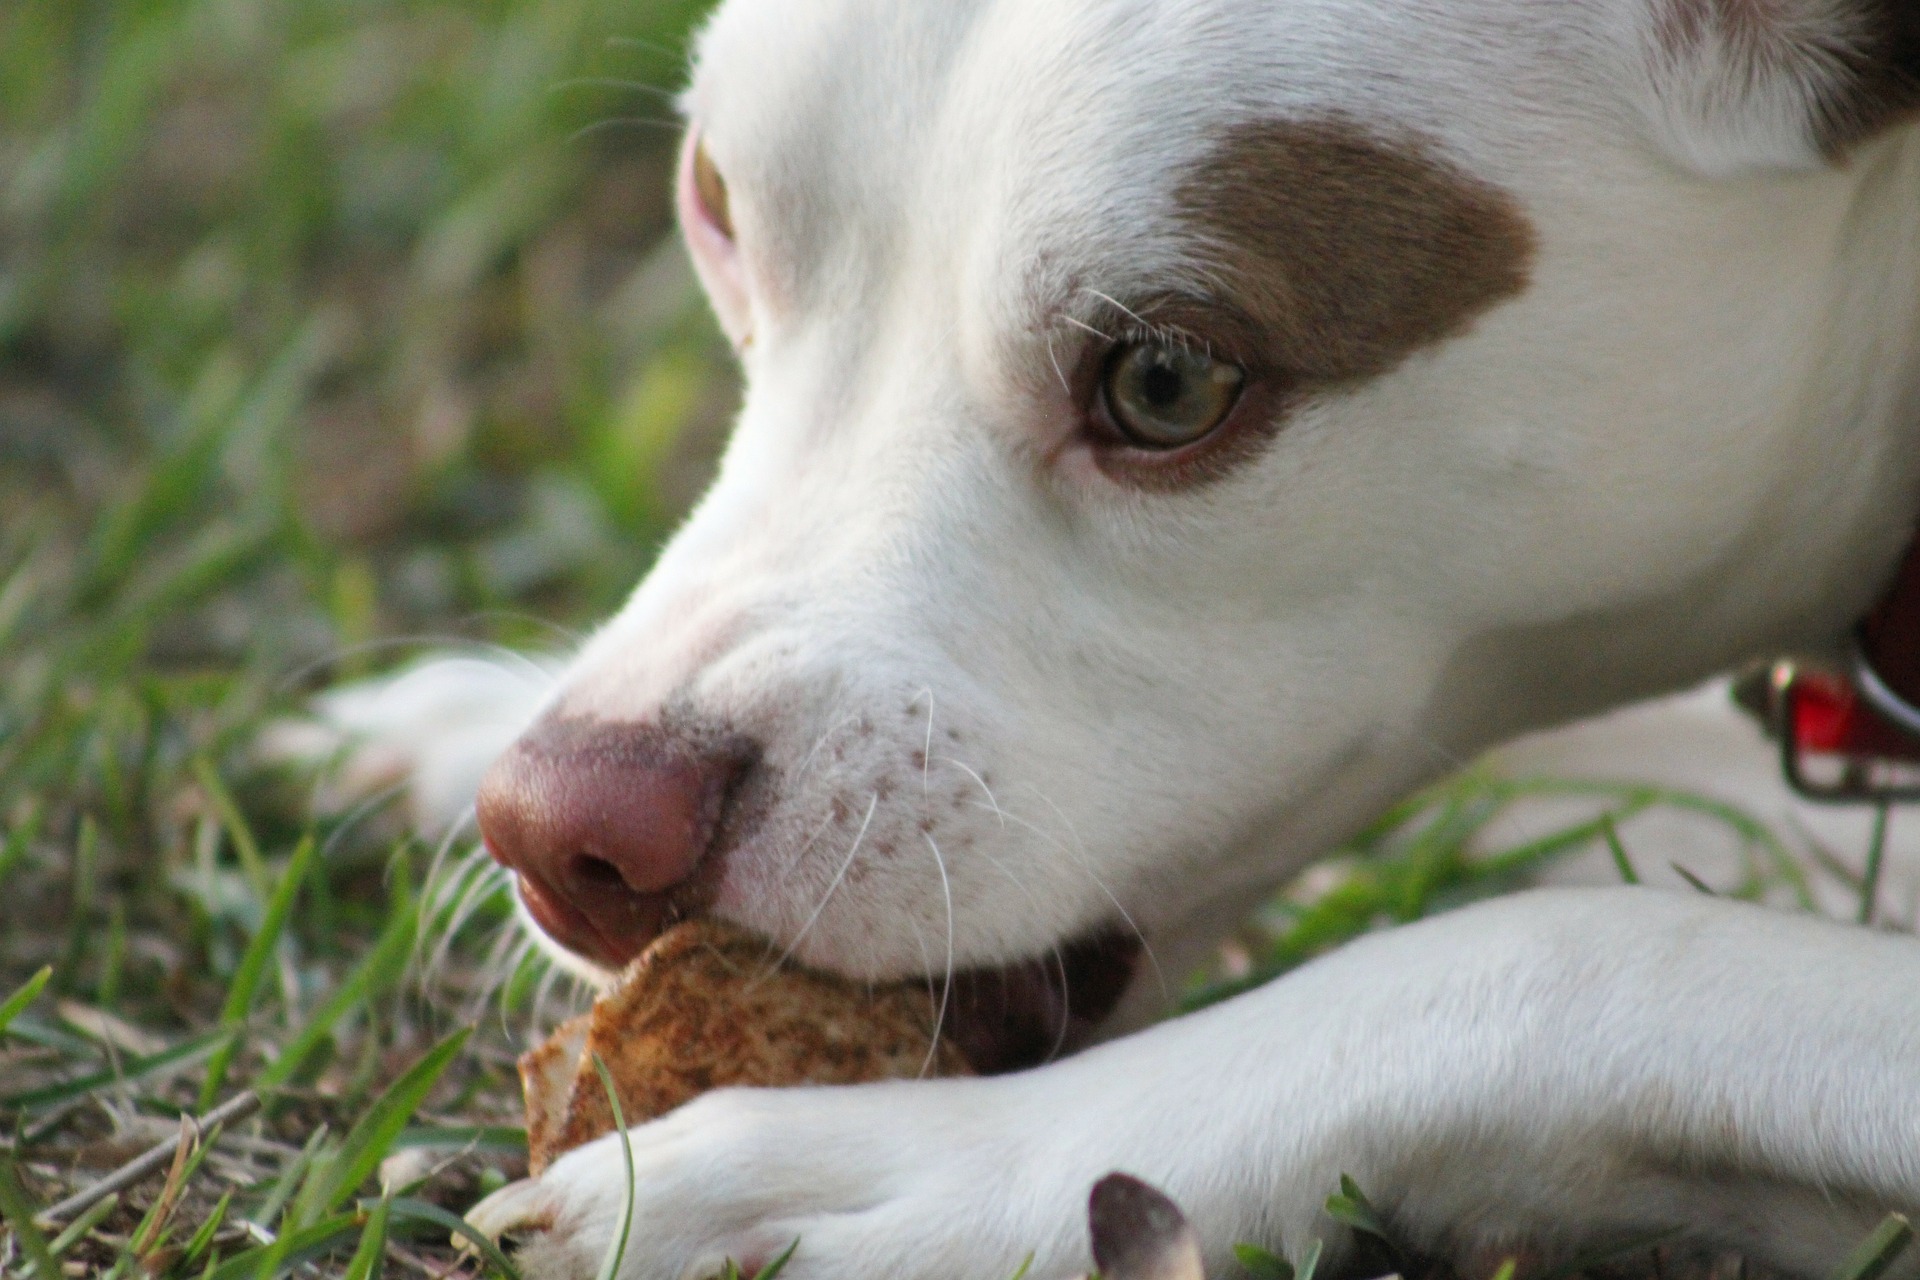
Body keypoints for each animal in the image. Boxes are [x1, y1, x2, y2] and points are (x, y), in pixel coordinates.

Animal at [299, 0, 1920, 1274]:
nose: (565, 825)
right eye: (716, 205)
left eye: (1165, 380)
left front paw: (934, 1163)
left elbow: (1585, 950)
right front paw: (463, 718)